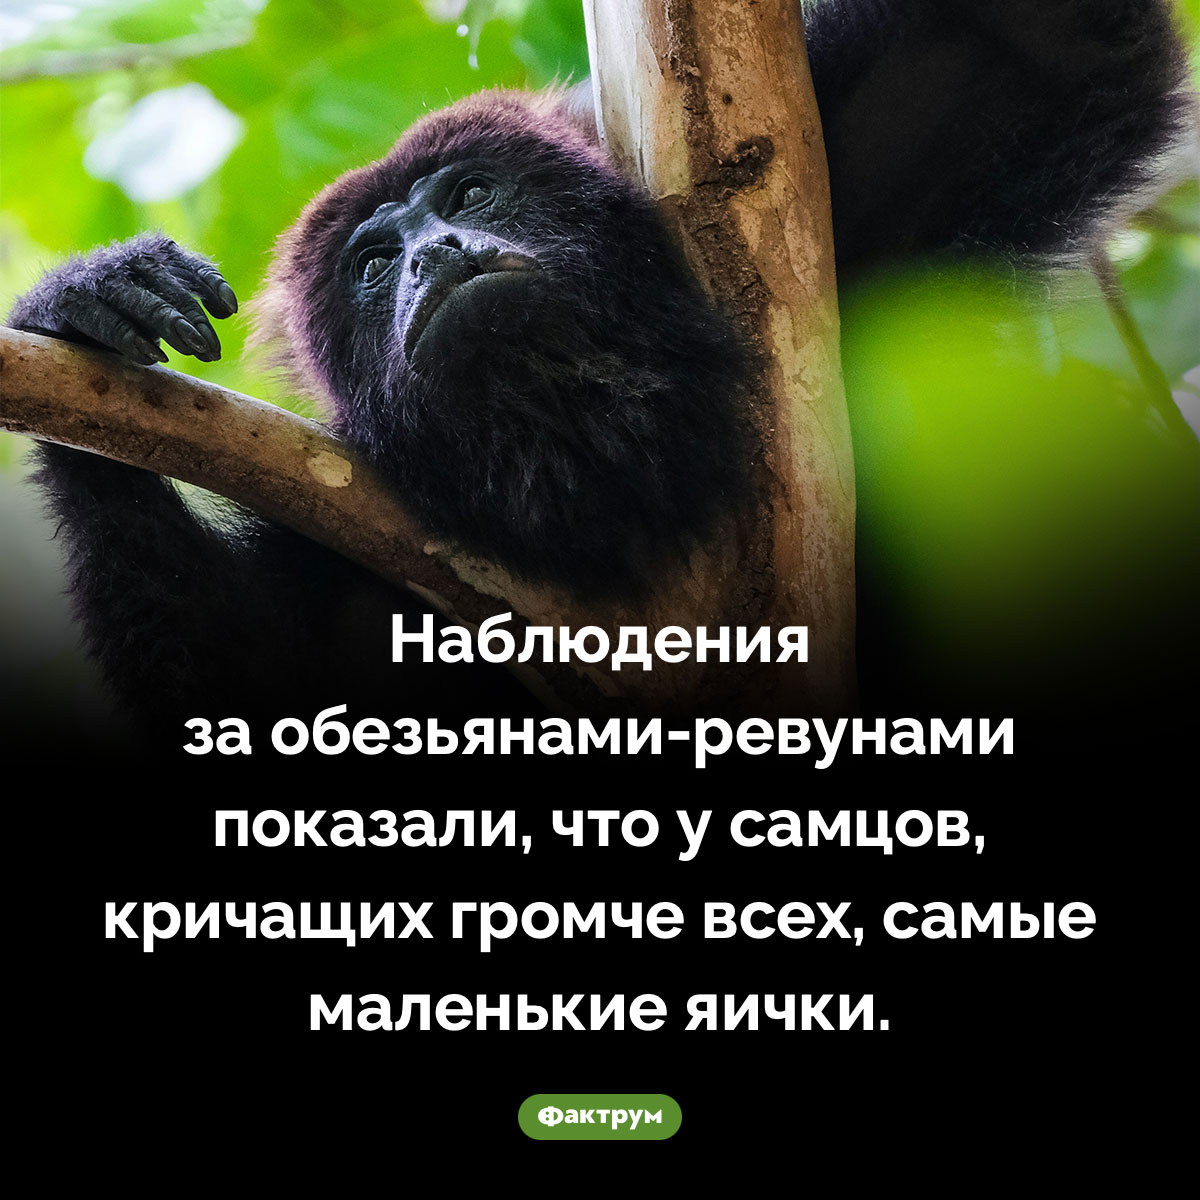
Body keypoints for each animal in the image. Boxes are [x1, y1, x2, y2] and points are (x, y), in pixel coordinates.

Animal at [5, 0, 1191, 733]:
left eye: (471, 194)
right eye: (374, 264)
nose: (434, 255)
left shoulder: (873, 201)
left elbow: (1047, 45)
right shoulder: (343, 568)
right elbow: (237, 677)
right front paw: (87, 313)